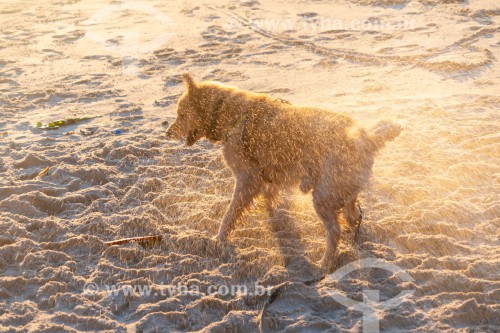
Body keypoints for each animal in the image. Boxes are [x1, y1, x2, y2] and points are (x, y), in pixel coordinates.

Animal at [166, 74, 400, 268]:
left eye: (181, 114)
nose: (167, 133)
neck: (228, 114)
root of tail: (366, 138)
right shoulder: (267, 175)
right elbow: (269, 198)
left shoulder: (247, 179)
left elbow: (229, 215)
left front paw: (219, 239)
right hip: (342, 188)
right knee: (352, 212)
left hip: (323, 194)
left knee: (335, 230)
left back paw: (324, 262)